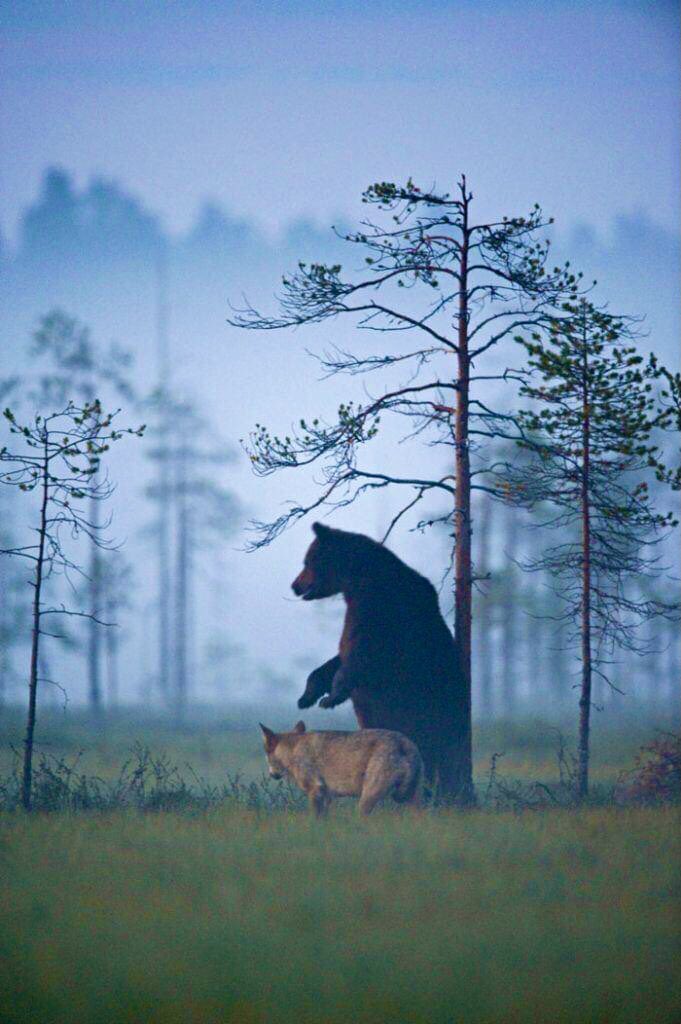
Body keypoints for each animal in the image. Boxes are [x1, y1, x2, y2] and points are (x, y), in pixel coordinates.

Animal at [259, 721, 423, 816]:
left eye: (266, 754)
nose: (271, 775)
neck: (293, 750)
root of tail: (405, 743)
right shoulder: (326, 795)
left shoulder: (315, 789)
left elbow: (314, 818)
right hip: (412, 800)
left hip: (366, 799)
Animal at [291, 522, 471, 802]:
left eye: (308, 561)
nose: (295, 585)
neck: (358, 581)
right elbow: (338, 657)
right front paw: (308, 695)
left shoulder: (381, 612)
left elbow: (361, 656)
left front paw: (331, 697)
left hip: (431, 714)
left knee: (434, 753)